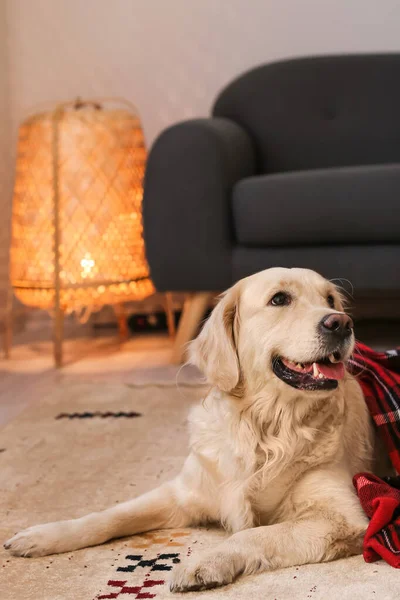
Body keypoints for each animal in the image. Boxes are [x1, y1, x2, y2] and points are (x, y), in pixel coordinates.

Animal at [3, 270, 384, 592]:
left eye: (330, 299)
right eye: (279, 299)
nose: (341, 323)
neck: (264, 428)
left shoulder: (340, 517)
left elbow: (252, 535)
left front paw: (204, 563)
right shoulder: (183, 492)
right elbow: (112, 514)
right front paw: (44, 535)